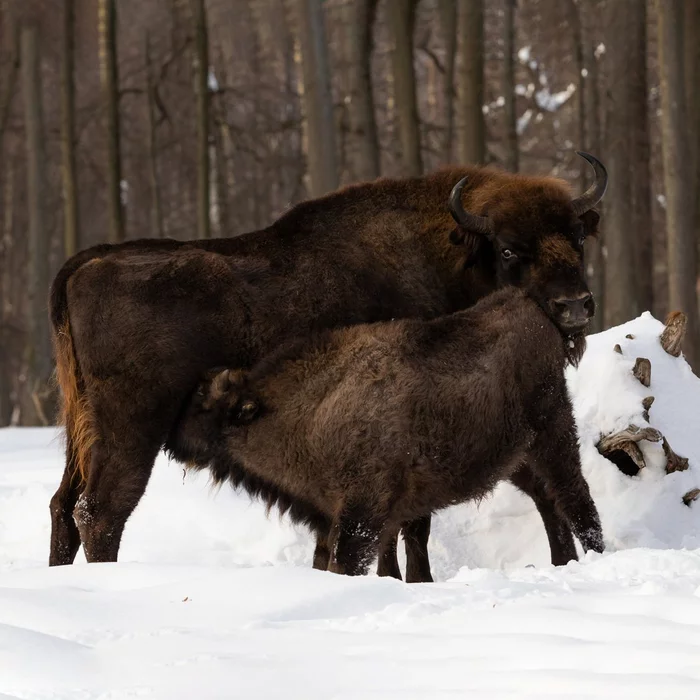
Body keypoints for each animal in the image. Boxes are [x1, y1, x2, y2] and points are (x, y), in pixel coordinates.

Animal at [167, 282, 604, 576]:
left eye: (205, 402)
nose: (170, 438)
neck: (309, 407)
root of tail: (531, 306)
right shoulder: (363, 515)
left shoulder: (362, 510)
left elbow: (353, 560)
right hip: (517, 458)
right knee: (549, 503)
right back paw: (563, 562)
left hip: (553, 434)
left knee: (576, 499)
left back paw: (596, 556)